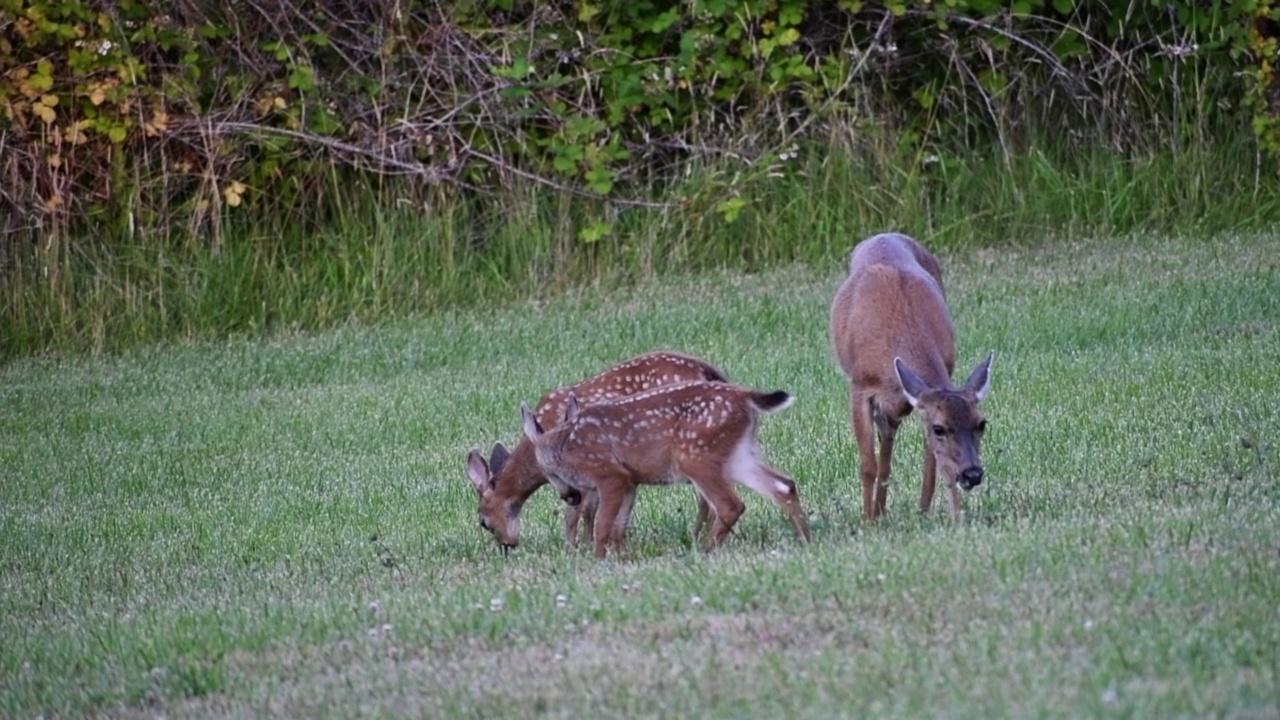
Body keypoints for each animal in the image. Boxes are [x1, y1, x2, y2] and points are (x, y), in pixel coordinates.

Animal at [514, 379, 803, 558]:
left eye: (546, 471)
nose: (570, 496)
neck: (566, 447)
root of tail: (746, 396)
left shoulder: (610, 475)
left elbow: (603, 524)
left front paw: (597, 559)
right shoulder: (631, 481)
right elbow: (619, 525)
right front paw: (619, 557)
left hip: (695, 455)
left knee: (731, 504)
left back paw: (705, 551)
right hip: (736, 455)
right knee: (783, 485)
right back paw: (805, 540)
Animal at [824, 233, 993, 517]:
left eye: (981, 423)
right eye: (940, 428)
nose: (972, 474)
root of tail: (884, 234)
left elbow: (936, 460)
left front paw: (939, 512)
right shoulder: (859, 386)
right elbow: (867, 465)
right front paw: (866, 519)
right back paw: (877, 512)